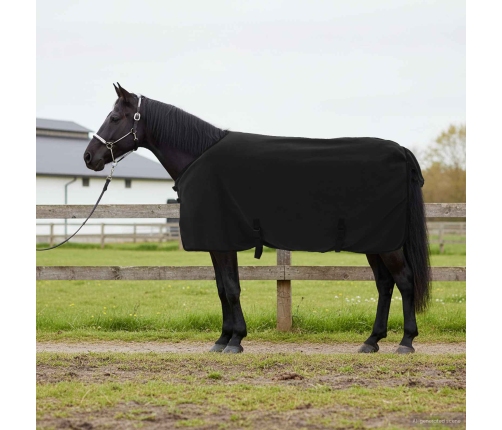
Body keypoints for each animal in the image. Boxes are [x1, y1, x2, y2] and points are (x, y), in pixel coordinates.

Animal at [83, 83, 431, 354]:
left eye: (114, 117)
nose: (89, 157)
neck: (199, 156)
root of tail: (401, 151)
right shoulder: (218, 244)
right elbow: (223, 288)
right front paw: (223, 338)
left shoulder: (223, 242)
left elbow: (231, 289)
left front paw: (235, 340)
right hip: (376, 242)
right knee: (385, 284)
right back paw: (372, 341)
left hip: (388, 245)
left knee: (405, 280)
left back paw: (406, 342)